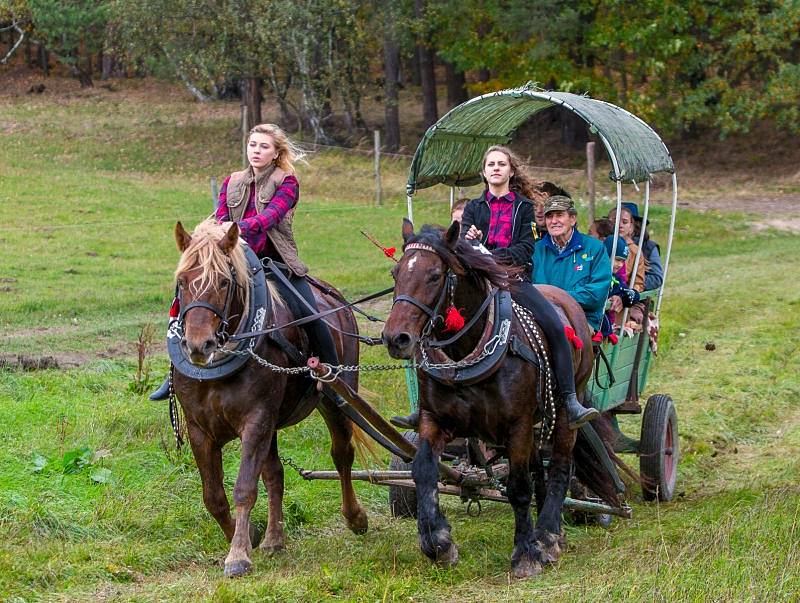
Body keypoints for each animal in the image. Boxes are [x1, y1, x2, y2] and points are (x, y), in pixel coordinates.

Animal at [172, 219, 368, 580]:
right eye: (182, 281)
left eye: (224, 281)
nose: (198, 345)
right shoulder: (200, 429)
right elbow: (214, 496)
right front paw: (249, 535)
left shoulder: (256, 419)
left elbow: (244, 488)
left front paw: (238, 555)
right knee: (275, 473)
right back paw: (275, 539)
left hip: (335, 399)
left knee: (342, 454)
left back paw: (355, 517)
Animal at [382, 219, 620, 580]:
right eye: (396, 273)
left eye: (435, 276)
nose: (396, 338)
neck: (465, 353)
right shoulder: (434, 421)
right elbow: (423, 470)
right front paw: (438, 542)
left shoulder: (516, 426)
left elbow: (518, 488)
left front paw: (525, 555)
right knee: (540, 472)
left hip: (566, 411)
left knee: (560, 467)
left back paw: (548, 536)